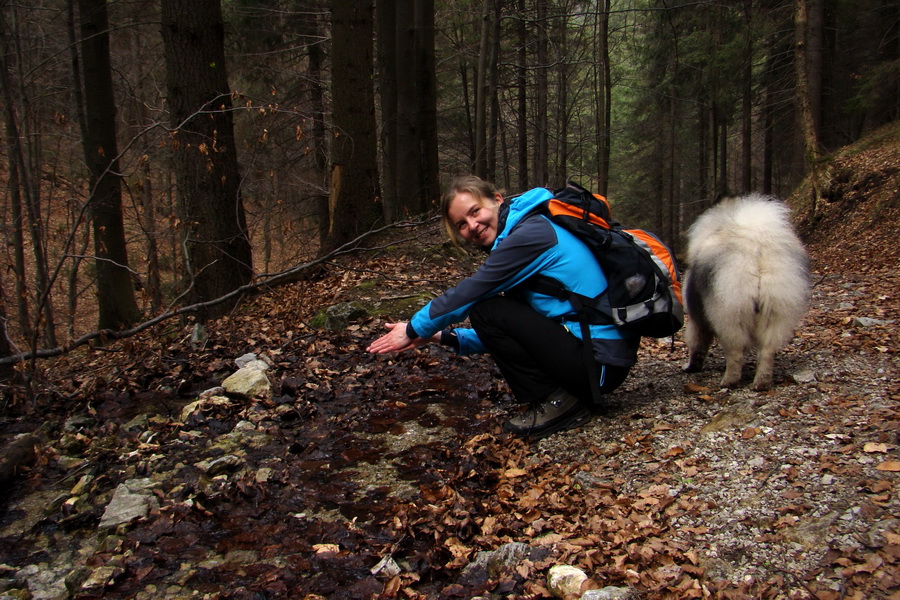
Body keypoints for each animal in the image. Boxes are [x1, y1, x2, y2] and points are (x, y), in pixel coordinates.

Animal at [684, 195, 808, 392]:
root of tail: (756, 246)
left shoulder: (698, 319)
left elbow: (697, 344)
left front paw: (692, 367)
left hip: (730, 314)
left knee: (735, 352)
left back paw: (730, 380)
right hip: (774, 309)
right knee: (767, 351)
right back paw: (761, 382)